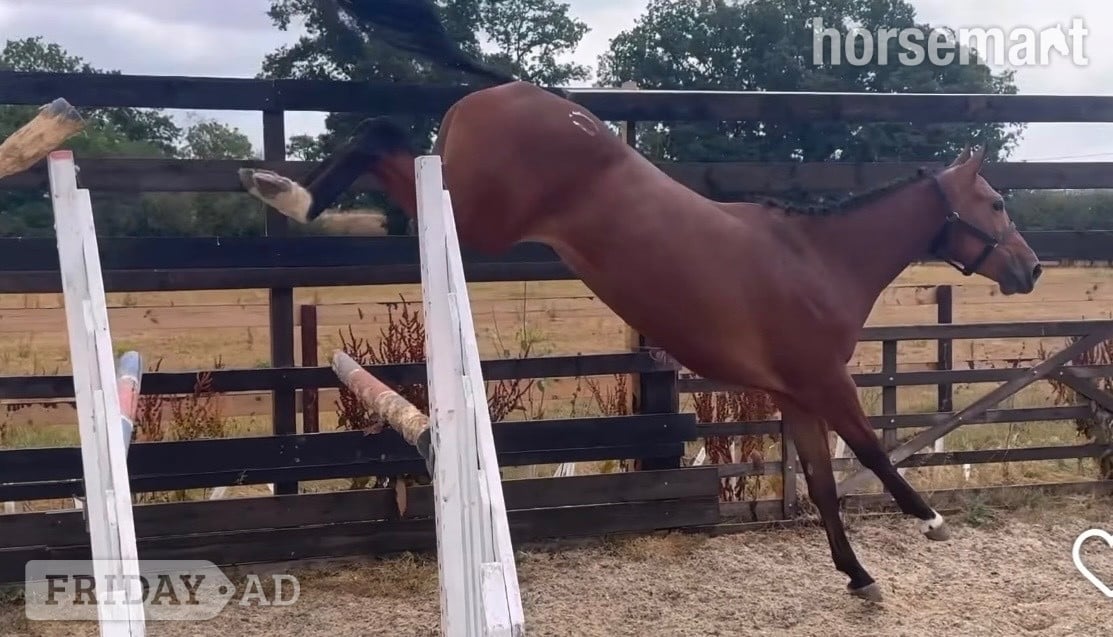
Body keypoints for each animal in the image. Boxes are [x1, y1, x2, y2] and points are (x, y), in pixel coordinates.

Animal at [238, 0, 1043, 603]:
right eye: (997, 204)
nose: (1031, 269)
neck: (817, 261)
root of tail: (510, 90)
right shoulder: (824, 381)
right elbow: (873, 449)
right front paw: (929, 519)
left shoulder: (795, 396)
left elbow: (820, 485)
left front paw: (858, 577)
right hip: (475, 215)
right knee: (381, 139)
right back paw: (289, 193)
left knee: (381, 147)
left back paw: (281, 189)